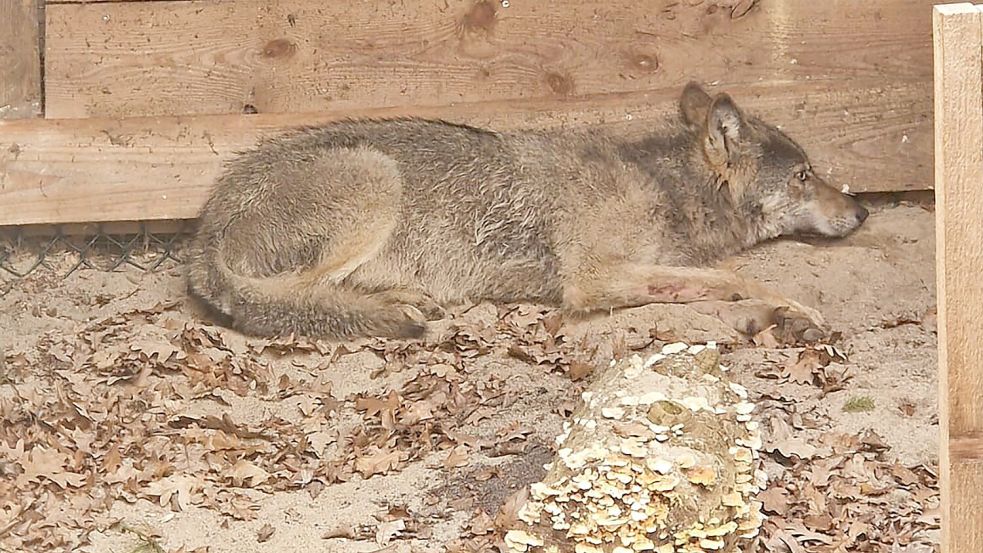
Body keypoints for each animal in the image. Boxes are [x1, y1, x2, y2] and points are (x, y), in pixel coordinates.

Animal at [185, 82, 868, 341]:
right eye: (805, 176)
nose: (862, 210)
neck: (662, 186)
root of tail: (204, 230)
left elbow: (716, 277)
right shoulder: (591, 280)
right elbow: (736, 277)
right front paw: (794, 310)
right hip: (376, 179)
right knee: (293, 298)